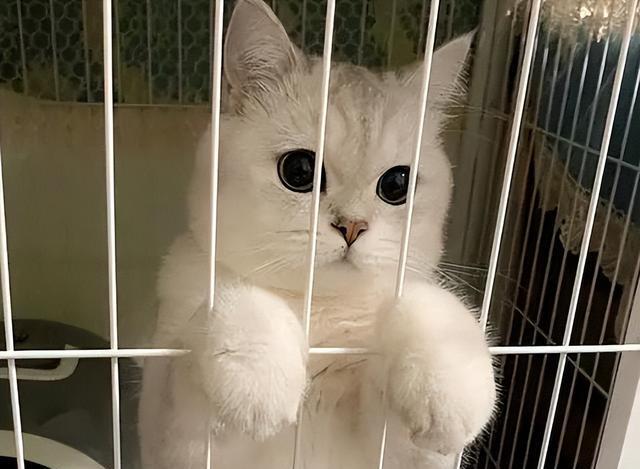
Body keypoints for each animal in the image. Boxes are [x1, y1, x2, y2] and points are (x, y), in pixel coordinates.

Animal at [138, 1, 496, 468]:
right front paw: (258, 374)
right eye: (299, 171)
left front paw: (450, 383)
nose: (352, 226)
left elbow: (427, 303)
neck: (320, 310)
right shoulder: (178, 440)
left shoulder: (406, 454)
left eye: (397, 184)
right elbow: (232, 304)